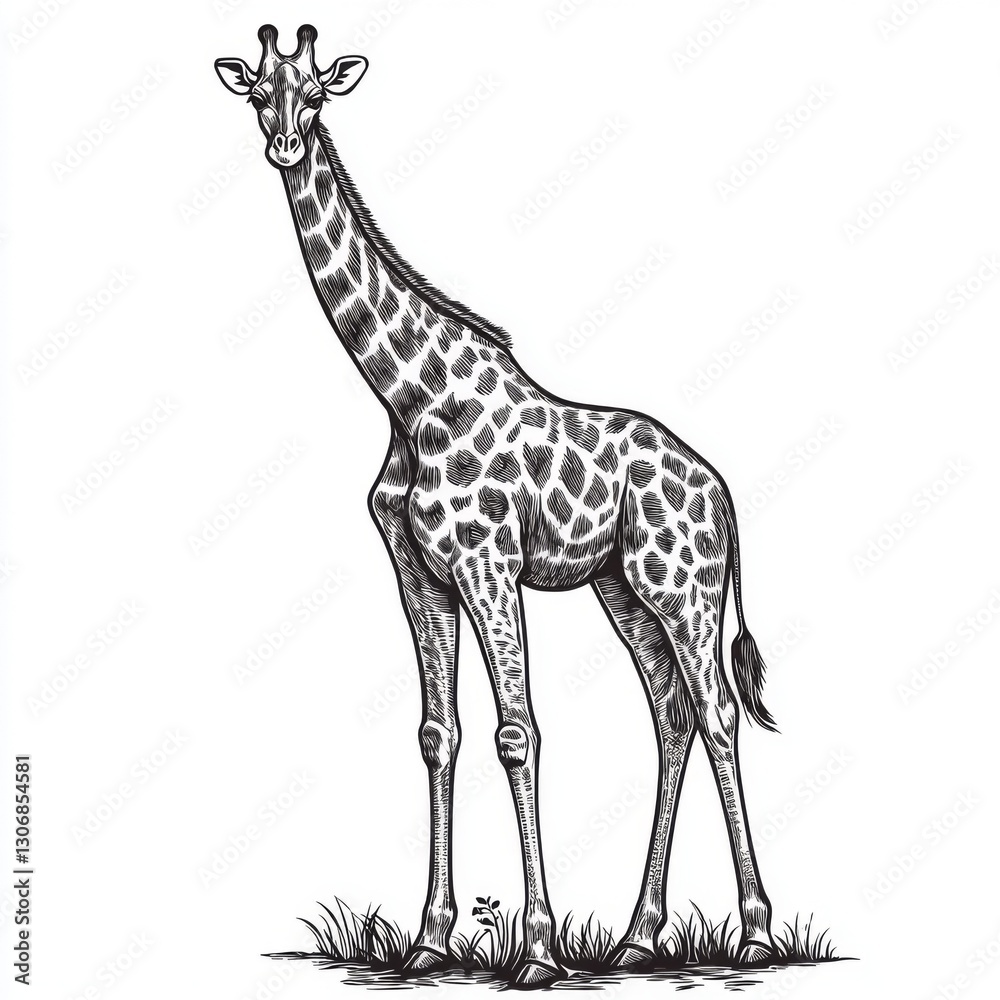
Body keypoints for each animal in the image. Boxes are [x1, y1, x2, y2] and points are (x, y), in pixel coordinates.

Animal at [216, 25, 778, 987]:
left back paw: (753, 932)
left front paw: (539, 948)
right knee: (669, 716)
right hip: (623, 589)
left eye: (316, 94)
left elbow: (519, 733)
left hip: (686, 589)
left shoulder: (488, 564)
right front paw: (429, 937)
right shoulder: (420, 573)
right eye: (257, 92)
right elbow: (437, 732)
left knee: (716, 713)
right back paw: (637, 934)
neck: (409, 397)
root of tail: (722, 493)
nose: (283, 146)